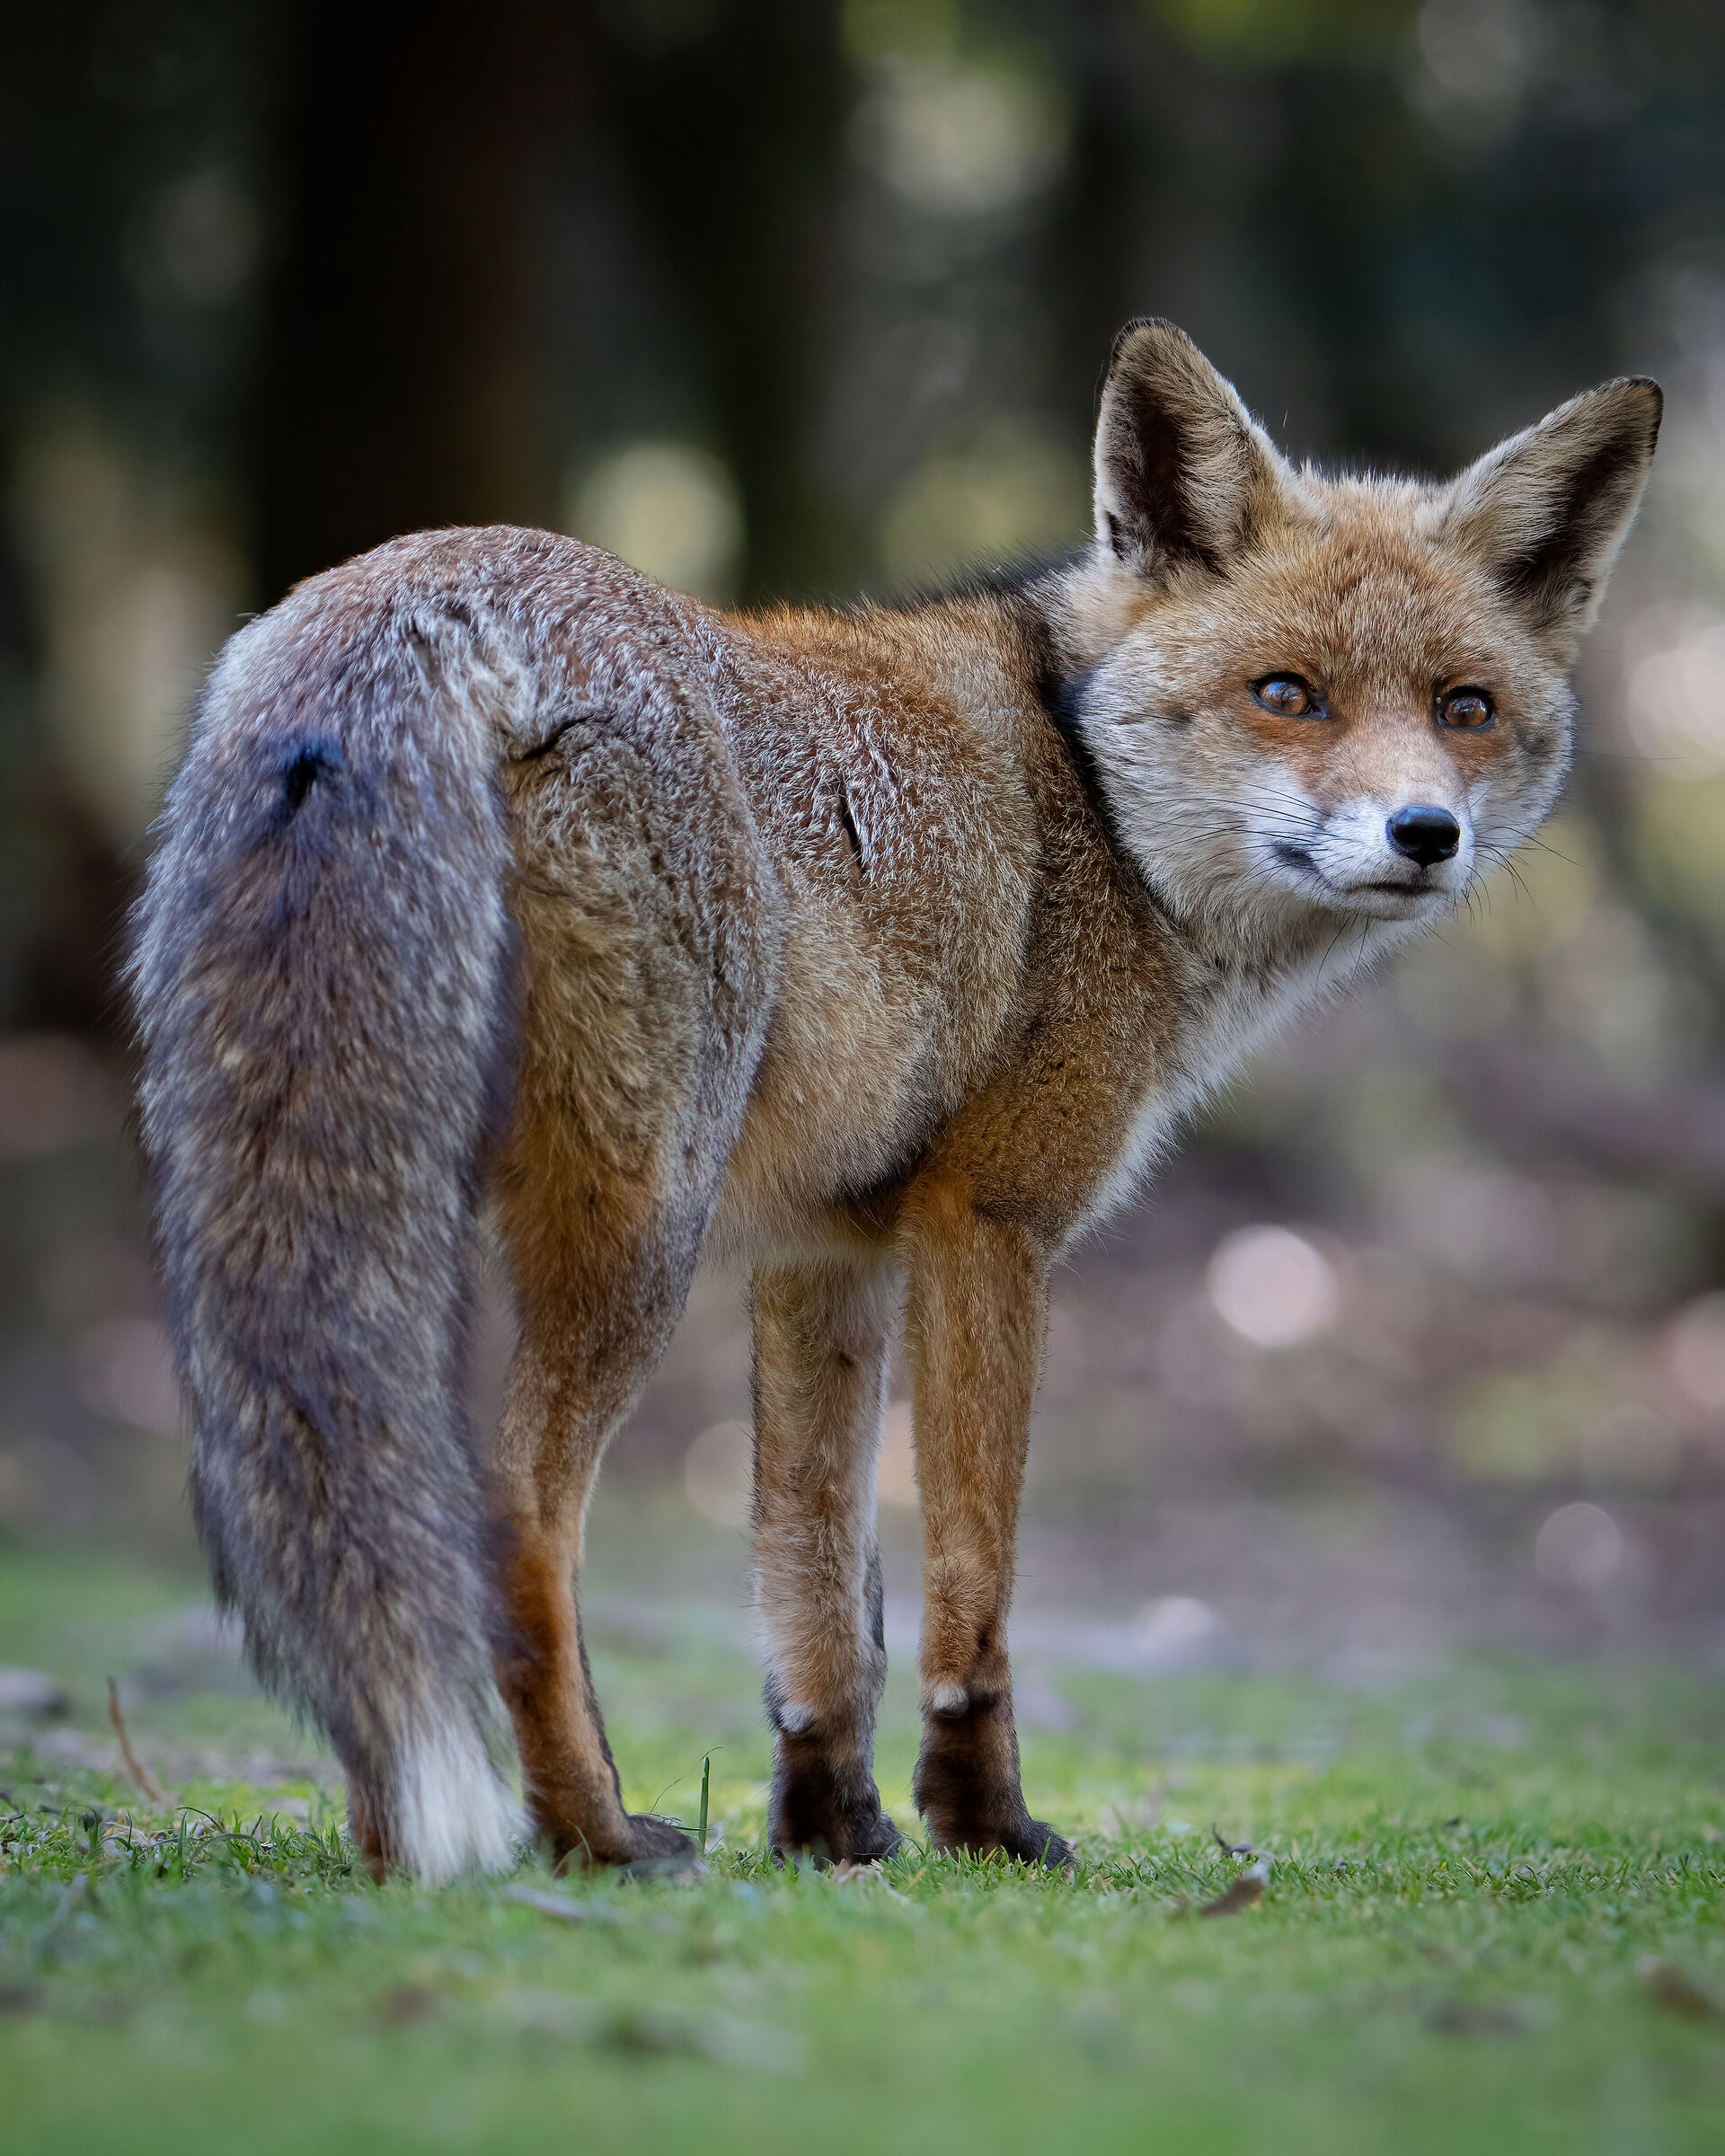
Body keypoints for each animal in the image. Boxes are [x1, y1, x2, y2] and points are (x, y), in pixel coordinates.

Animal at [132, 321, 1659, 1883]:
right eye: (1288, 694)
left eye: (1466, 712)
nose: (1426, 835)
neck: (1088, 803)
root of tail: (416, 581)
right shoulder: (989, 1222)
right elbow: (973, 1579)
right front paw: (985, 1823)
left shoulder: (825, 1251)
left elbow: (819, 1593)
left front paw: (836, 1832)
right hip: (639, 1226)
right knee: (508, 1525)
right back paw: (594, 1837)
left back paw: (397, 1846)